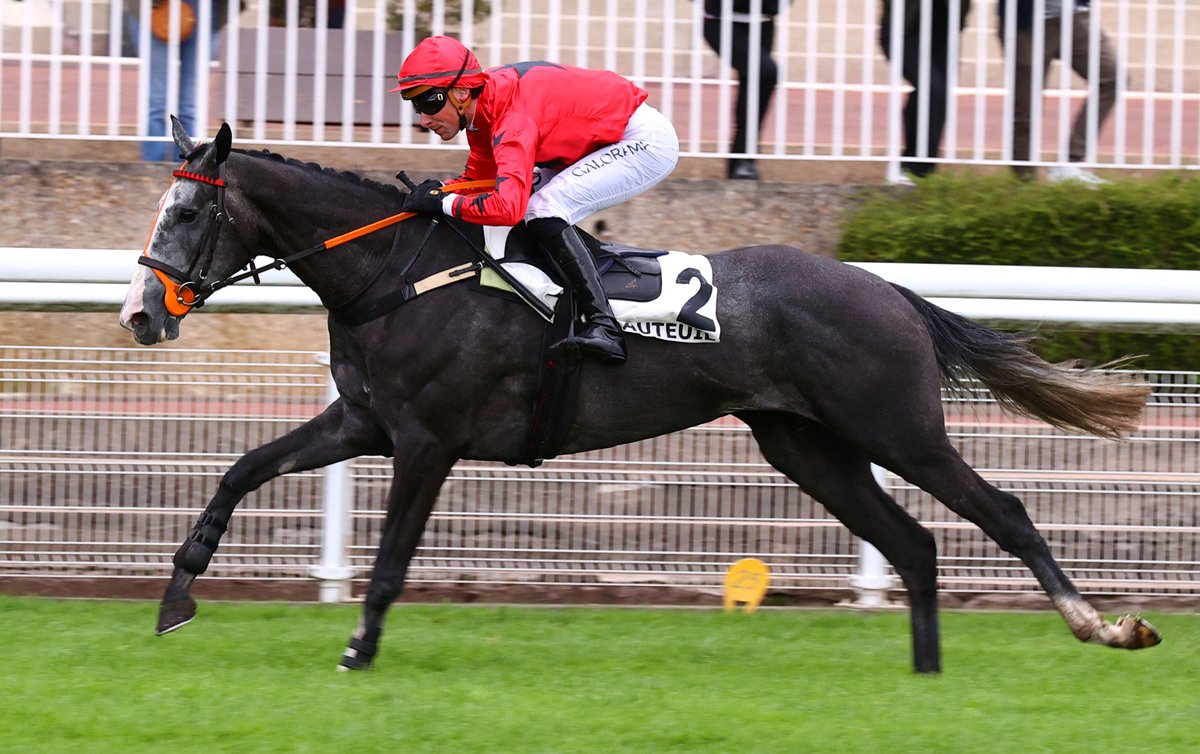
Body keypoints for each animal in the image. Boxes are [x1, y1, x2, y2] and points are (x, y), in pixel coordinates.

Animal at [119, 119, 1161, 673]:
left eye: (187, 210)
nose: (138, 314)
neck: (396, 273)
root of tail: (889, 290)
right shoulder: (363, 421)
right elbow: (242, 468)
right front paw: (176, 596)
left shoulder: (427, 441)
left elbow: (389, 560)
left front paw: (359, 650)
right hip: (806, 444)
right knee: (913, 544)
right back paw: (926, 673)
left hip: (897, 429)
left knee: (1003, 511)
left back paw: (1104, 626)